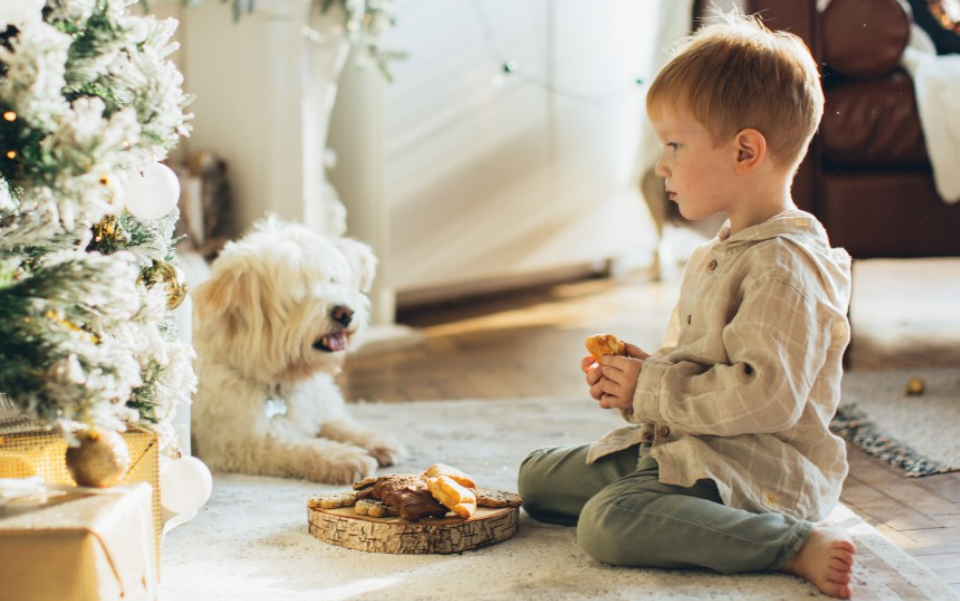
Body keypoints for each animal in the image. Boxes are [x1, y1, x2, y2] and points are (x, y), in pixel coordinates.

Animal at [193, 216, 406, 482]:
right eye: (300, 293)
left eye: (332, 280)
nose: (344, 313)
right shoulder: (241, 445)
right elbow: (299, 448)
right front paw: (344, 457)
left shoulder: (320, 408)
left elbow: (339, 423)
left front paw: (374, 439)